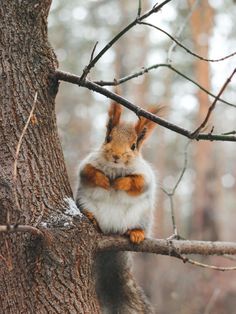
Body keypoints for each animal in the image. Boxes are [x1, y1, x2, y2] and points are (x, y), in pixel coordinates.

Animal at [75, 99, 157, 312]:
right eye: (108, 138)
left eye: (134, 146)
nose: (116, 156)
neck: (115, 169)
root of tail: (111, 231)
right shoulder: (87, 164)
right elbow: (89, 172)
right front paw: (103, 180)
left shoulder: (145, 175)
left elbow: (137, 183)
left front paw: (121, 183)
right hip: (85, 202)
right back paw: (91, 217)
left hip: (142, 215)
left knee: (137, 226)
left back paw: (136, 233)